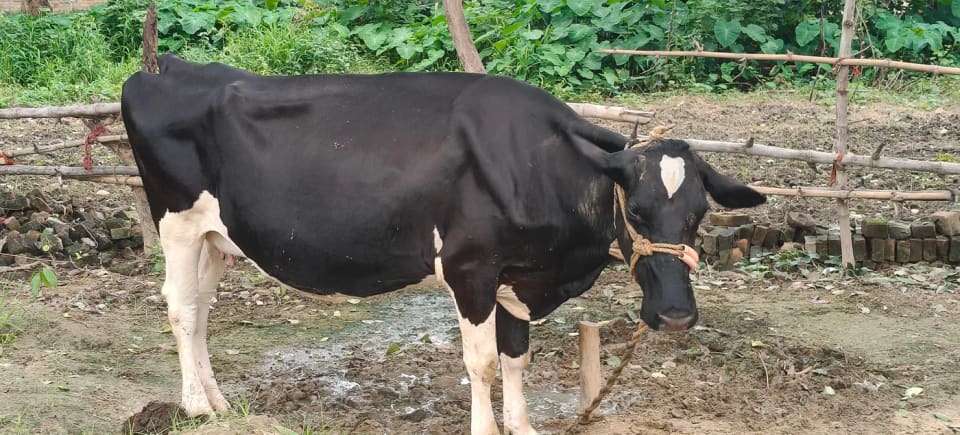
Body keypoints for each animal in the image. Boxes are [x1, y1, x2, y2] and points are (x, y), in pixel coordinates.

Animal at [120, 54, 765, 435]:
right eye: (635, 210)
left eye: (700, 214)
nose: (676, 315)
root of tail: (164, 67)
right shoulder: (470, 267)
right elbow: (482, 362)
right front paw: (487, 429)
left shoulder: (517, 274)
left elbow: (517, 356)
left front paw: (522, 427)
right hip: (177, 221)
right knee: (182, 308)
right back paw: (197, 406)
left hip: (216, 235)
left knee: (203, 311)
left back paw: (221, 404)